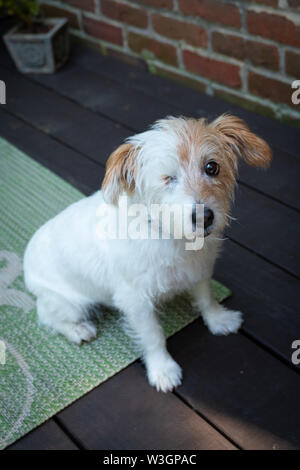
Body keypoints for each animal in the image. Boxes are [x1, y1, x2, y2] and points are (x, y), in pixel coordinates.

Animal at [23, 114, 272, 392]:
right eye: (167, 178)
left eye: (211, 167)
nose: (204, 217)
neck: (172, 236)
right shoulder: (136, 302)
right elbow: (153, 336)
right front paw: (162, 370)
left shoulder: (199, 272)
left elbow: (206, 298)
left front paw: (218, 320)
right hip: (68, 304)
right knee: (46, 316)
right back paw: (77, 330)